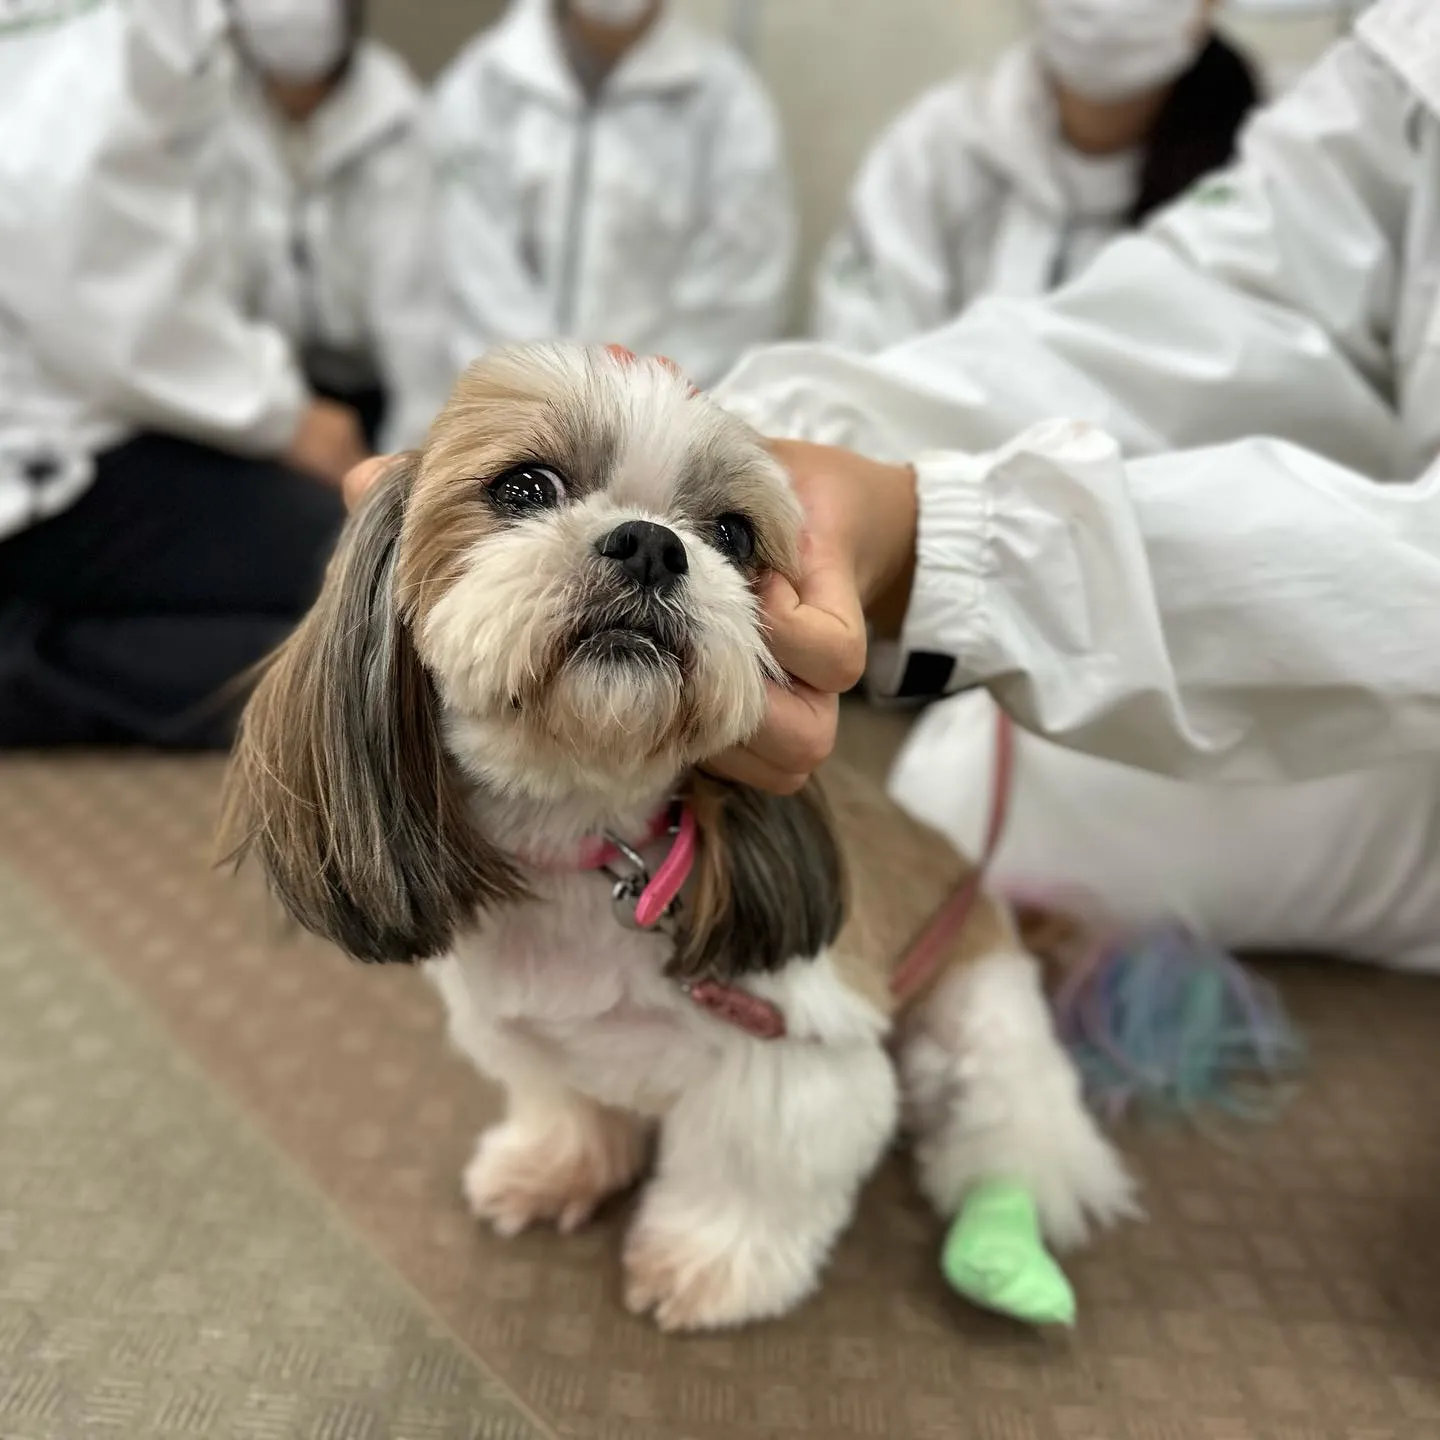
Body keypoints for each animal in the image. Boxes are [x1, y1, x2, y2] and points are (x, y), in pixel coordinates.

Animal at [221, 342, 1134, 1330]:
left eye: (731, 535)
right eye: (524, 486)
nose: (653, 543)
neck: (585, 847)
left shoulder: (790, 1056)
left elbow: (748, 1171)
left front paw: (708, 1266)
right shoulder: (528, 1037)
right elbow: (567, 1105)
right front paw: (555, 1167)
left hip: (979, 1025)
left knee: (1014, 1139)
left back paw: (1004, 1243)